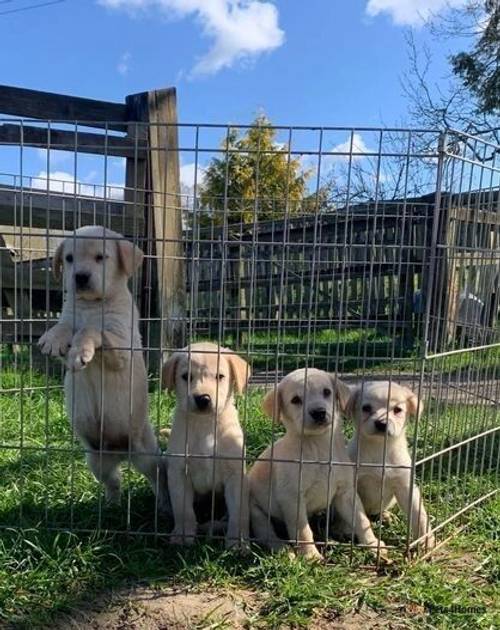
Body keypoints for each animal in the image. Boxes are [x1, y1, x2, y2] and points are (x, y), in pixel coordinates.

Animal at [38, 230, 168, 512]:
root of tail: (120, 453)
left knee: (158, 475)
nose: (80, 277)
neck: (92, 306)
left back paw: (164, 504)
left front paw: (81, 349)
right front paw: (52, 338)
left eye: (100, 257)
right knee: (114, 481)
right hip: (96, 462)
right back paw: (112, 505)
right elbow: (66, 326)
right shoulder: (70, 319)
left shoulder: (120, 345)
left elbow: (91, 330)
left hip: (146, 452)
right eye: (69, 258)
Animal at [163, 344, 250, 552]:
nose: (203, 399)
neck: (204, 425)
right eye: (186, 376)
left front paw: (238, 542)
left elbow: (239, 512)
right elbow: (183, 510)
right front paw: (183, 535)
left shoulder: (236, 476)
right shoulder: (178, 473)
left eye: (220, 376)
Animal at [250, 370, 386, 564]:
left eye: (327, 392)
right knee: (265, 533)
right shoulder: (292, 498)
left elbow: (362, 520)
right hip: (256, 511)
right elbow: (303, 530)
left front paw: (373, 545)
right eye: (296, 400)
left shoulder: (346, 493)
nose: (319, 412)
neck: (317, 446)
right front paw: (310, 555)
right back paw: (283, 550)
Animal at [346, 380, 436, 552]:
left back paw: (386, 516)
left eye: (397, 410)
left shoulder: (406, 487)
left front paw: (426, 539)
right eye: (366, 408)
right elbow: (361, 520)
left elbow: (419, 514)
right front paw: (372, 545)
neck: (381, 449)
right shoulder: (352, 489)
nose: (381, 423)